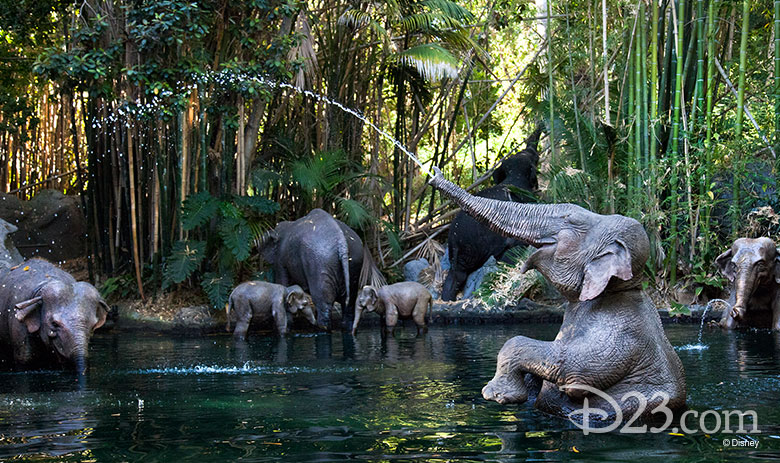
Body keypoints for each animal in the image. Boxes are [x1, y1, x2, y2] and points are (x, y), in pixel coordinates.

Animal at [430, 169, 684, 426]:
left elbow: (574, 372)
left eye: (568, 220)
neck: (622, 288)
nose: (434, 175)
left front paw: (497, 394)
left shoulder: (621, 332)